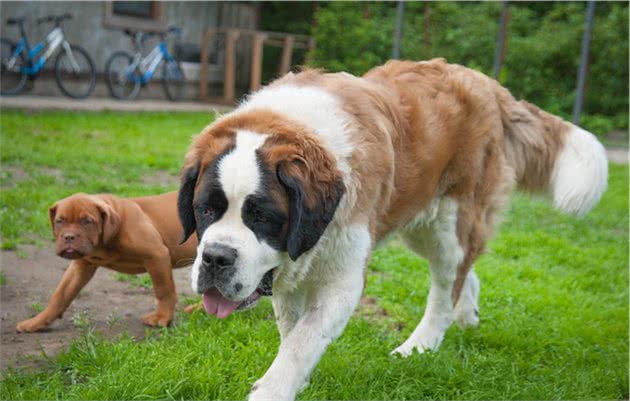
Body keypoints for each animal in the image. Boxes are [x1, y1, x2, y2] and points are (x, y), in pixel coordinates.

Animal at [16, 191, 199, 332]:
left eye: (87, 221)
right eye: (59, 221)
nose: (69, 237)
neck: (104, 242)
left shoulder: (157, 255)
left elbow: (163, 290)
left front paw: (162, 317)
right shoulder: (81, 266)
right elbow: (60, 295)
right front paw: (37, 322)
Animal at [177, 57, 608, 398]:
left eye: (262, 217)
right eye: (205, 210)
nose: (215, 259)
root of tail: (487, 84)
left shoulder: (342, 279)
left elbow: (302, 341)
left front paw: (276, 388)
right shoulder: (288, 270)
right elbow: (292, 331)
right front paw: (300, 380)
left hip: (449, 220)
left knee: (446, 286)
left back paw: (420, 345)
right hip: (418, 222)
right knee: (467, 270)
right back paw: (468, 316)